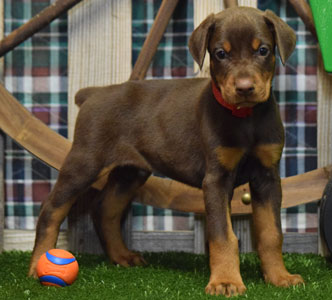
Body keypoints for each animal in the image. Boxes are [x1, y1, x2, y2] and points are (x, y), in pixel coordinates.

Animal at [29, 7, 304, 298]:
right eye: (220, 53)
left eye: (263, 50)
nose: (244, 88)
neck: (246, 118)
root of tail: (93, 94)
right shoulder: (216, 179)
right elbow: (222, 235)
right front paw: (225, 281)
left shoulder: (267, 176)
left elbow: (271, 232)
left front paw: (279, 277)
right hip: (86, 161)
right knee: (52, 208)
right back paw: (37, 265)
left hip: (131, 172)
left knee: (105, 210)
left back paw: (122, 257)